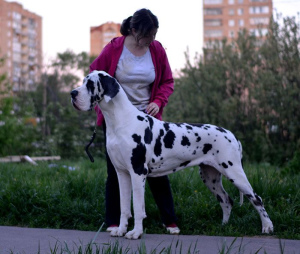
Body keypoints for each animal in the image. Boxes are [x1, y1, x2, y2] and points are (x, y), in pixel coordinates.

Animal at [70, 70, 274, 240]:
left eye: (90, 84)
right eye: (83, 82)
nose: (72, 93)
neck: (120, 121)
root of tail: (232, 135)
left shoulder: (138, 173)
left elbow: (137, 207)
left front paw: (136, 233)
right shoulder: (122, 174)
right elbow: (124, 208)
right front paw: (120, 230)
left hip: (234, 172)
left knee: (256, 199)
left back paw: (267, 227)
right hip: (210, 176)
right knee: (226, 200)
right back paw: (223, 226)